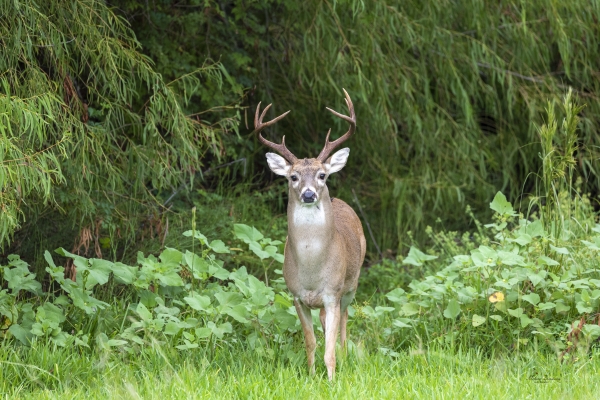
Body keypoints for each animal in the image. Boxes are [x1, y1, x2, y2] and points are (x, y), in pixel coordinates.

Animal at [252, 89, 366, 380]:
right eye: (293, 177)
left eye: (322, 175)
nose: (308, 194)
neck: (313, 269)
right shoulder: (296, 295)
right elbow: (311, 341)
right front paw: (313, 376)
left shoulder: (332, 293)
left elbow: (329, 346)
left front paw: (333, 378)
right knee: (325, 325)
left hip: (352, 284)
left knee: (344, 323)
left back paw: (346, 357)